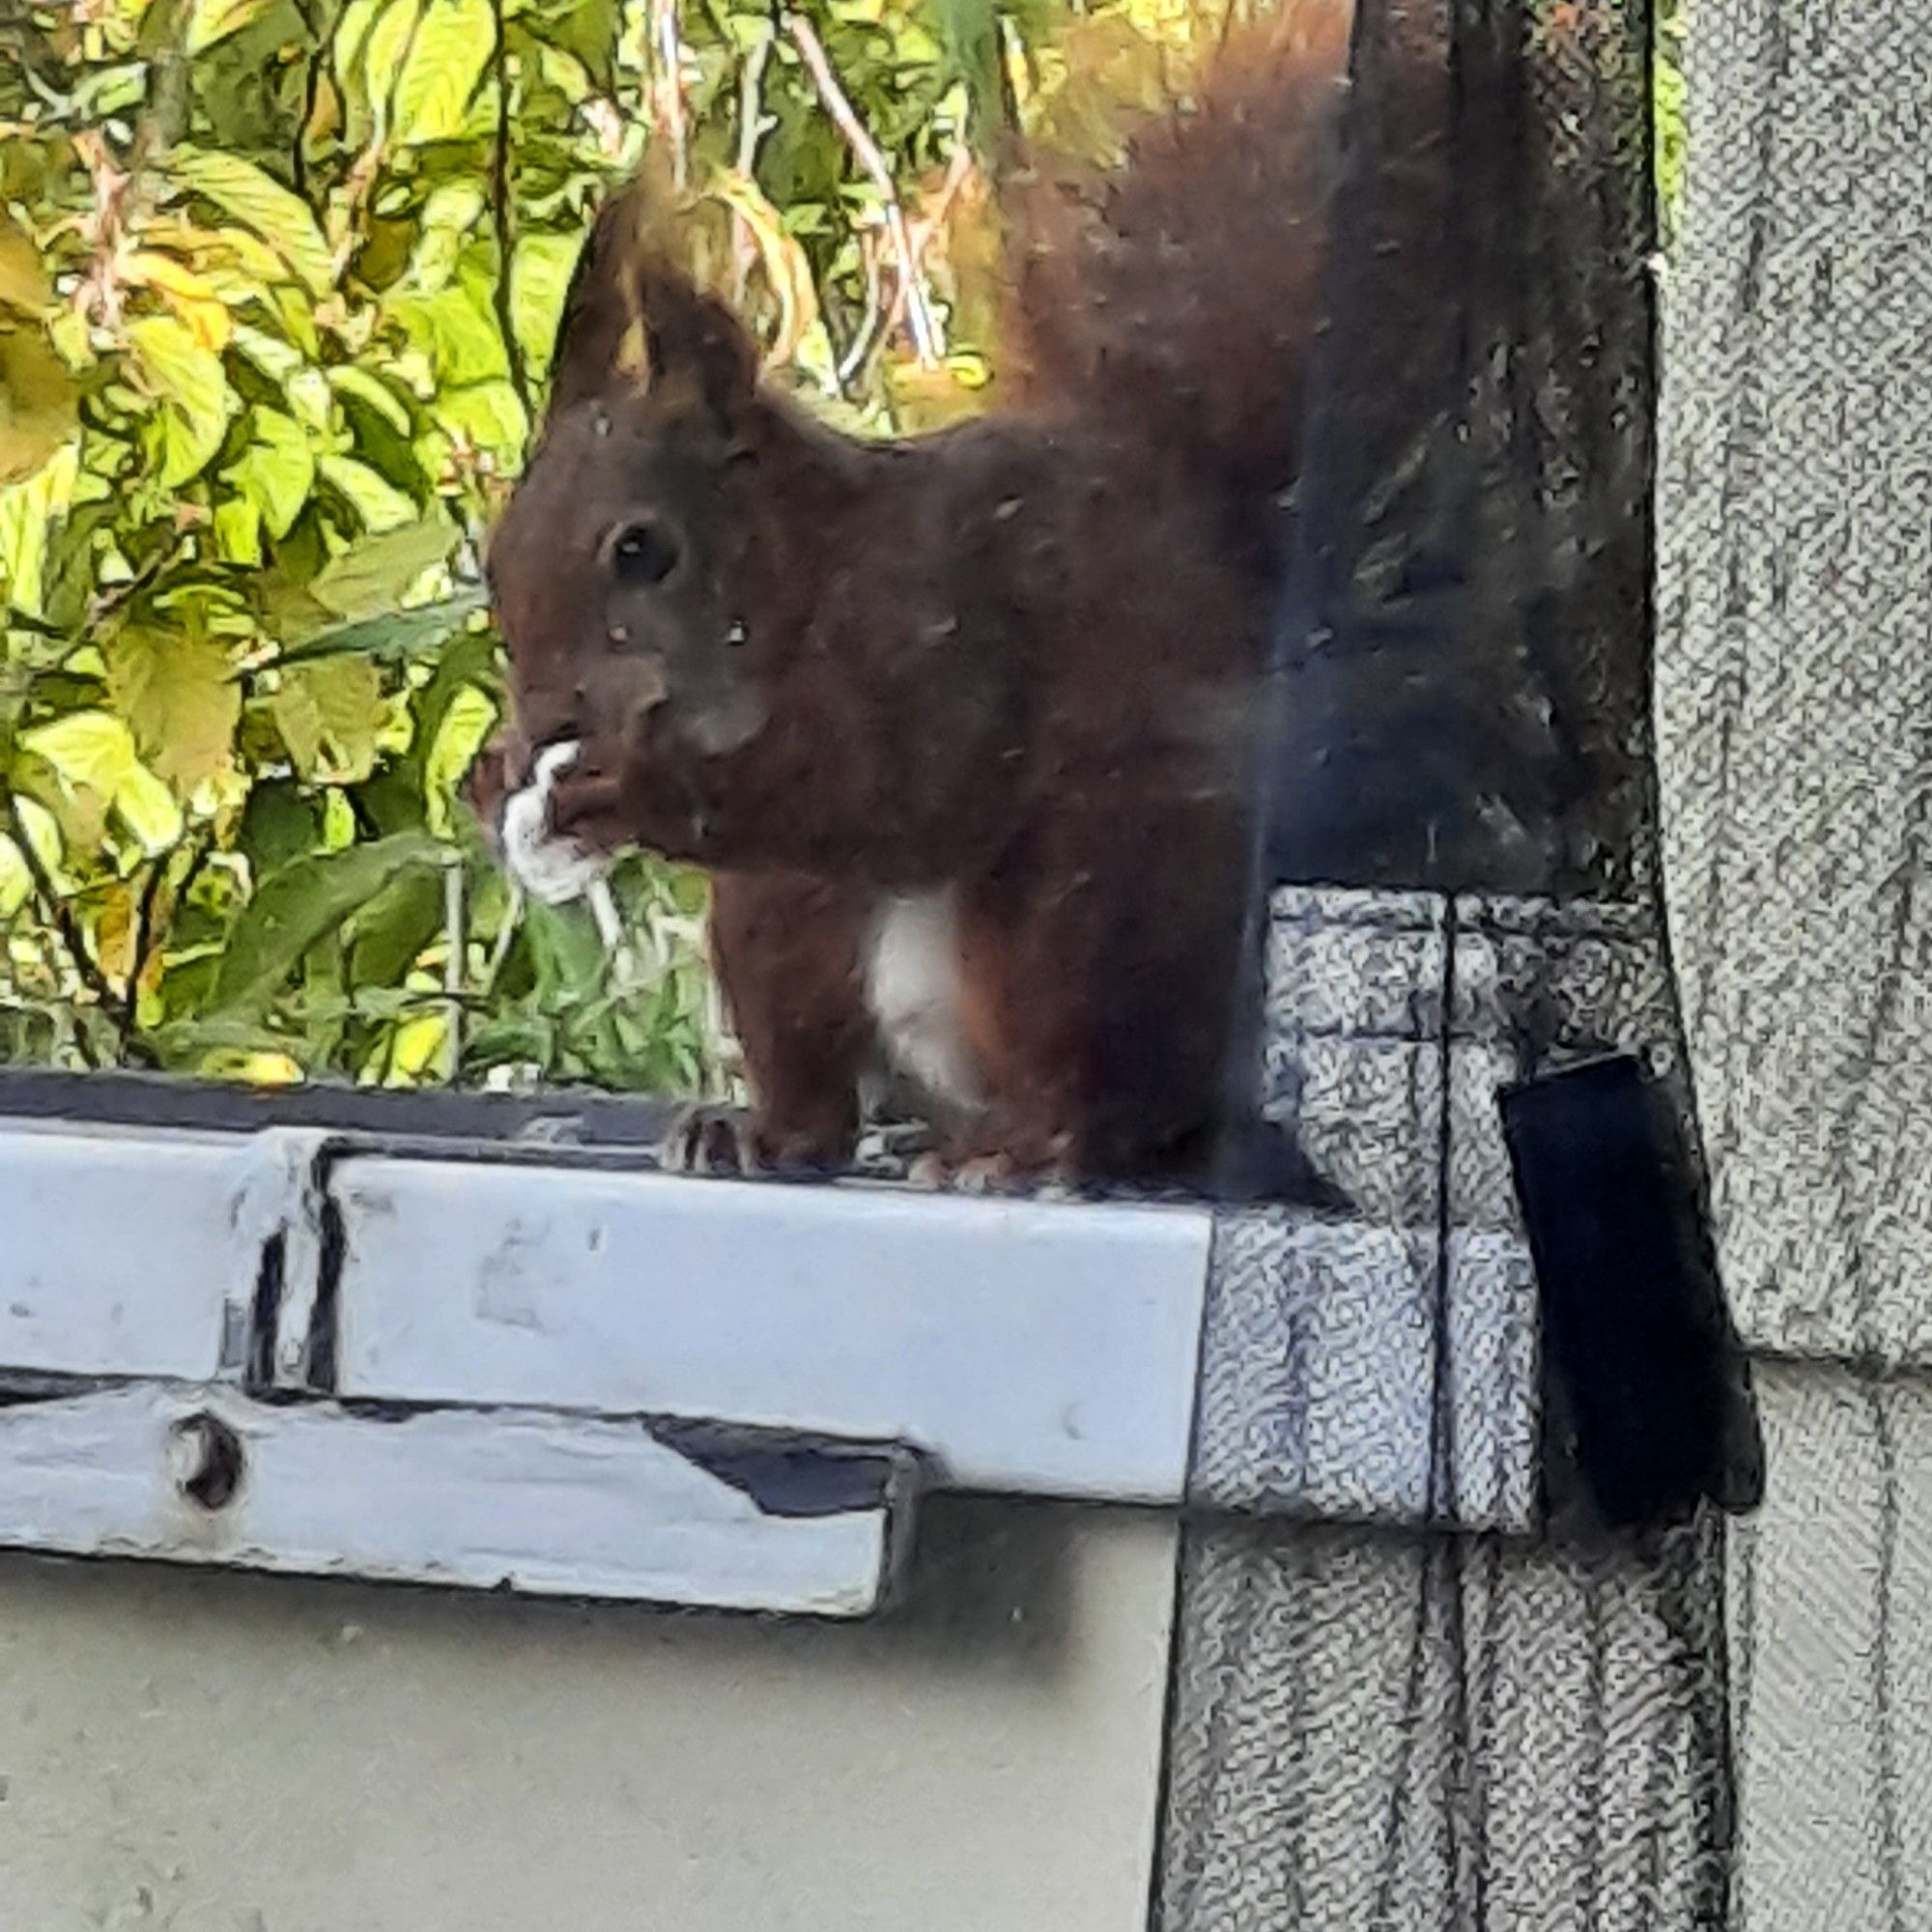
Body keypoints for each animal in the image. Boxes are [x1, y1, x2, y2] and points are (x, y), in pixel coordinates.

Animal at [477, 3, 1360, 1190]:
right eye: (497, 557)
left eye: (641, 549)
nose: (544, 722)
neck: (804, 582)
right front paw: (500, 779)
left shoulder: (946, 618)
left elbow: (893, 785)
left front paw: (630, 788)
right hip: (777, 922)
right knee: (817, 1083)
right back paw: (755, 1133)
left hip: (1075, 920)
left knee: (1101, 1096)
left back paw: (1029, 1149)